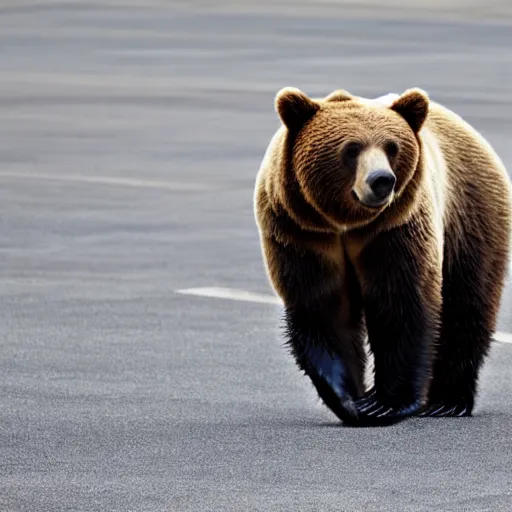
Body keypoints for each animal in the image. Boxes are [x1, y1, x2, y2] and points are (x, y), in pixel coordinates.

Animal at [254, 86, 510, 426]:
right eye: (351, 149)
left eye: (392, 147)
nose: (381, 180)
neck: (346, 224)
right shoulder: (303, 232)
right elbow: (323, 306)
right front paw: (349, 400)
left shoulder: (395, 227)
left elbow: (402, 301)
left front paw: (383, 403)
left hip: (470, 214)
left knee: (467, 303)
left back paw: (447, 401)